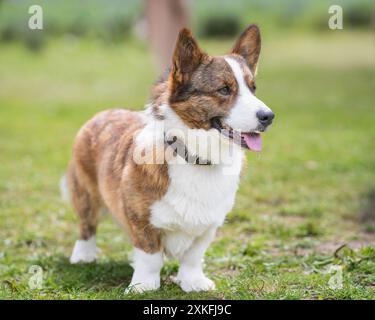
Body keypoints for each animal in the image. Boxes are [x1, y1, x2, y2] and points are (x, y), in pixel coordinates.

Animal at [64, 25, 276, 292]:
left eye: (253, 88)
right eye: (224, 89)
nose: (268, 116)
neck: (196, 157)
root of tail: (103, 113)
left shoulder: (208, 226)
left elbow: (193, 256)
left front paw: (193, 282)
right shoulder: (143, 220)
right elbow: (150, 256)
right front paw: (143, 286)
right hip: (86, 194)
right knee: (86, 226)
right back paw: (83, 256)